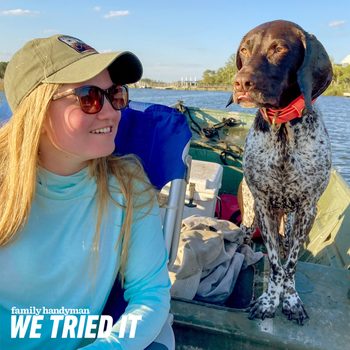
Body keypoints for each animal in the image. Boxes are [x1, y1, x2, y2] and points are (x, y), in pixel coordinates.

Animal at [226, 20, 332, 324]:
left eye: (279, 49)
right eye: (244, 50)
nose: (240, 83)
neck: (283, 130)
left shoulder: (307, 209)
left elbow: (290, 263)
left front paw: (290, 299)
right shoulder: (264, 207)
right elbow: (275, 262)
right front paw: (269, 301)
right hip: (251, 213)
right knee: (247, 236)